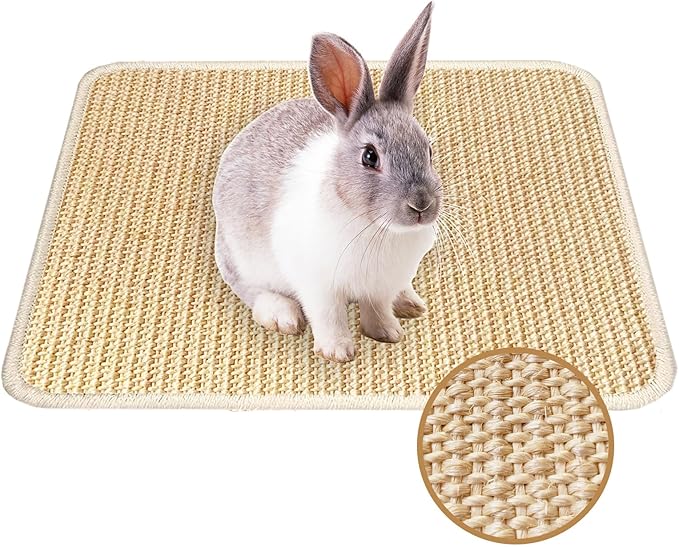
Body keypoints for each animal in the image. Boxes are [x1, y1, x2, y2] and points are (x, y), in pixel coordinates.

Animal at [213, 2, 442, 362]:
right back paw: (282, 316)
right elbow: (328, 316)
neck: (376, 228)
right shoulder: (318, 285)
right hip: (241, 259)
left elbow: (377, 309)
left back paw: (409, 303)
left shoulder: (381, 285)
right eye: (370, 157)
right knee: (252, 290)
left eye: (429, 150)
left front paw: (388, 333)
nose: (421, 205)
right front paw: (338, 352)